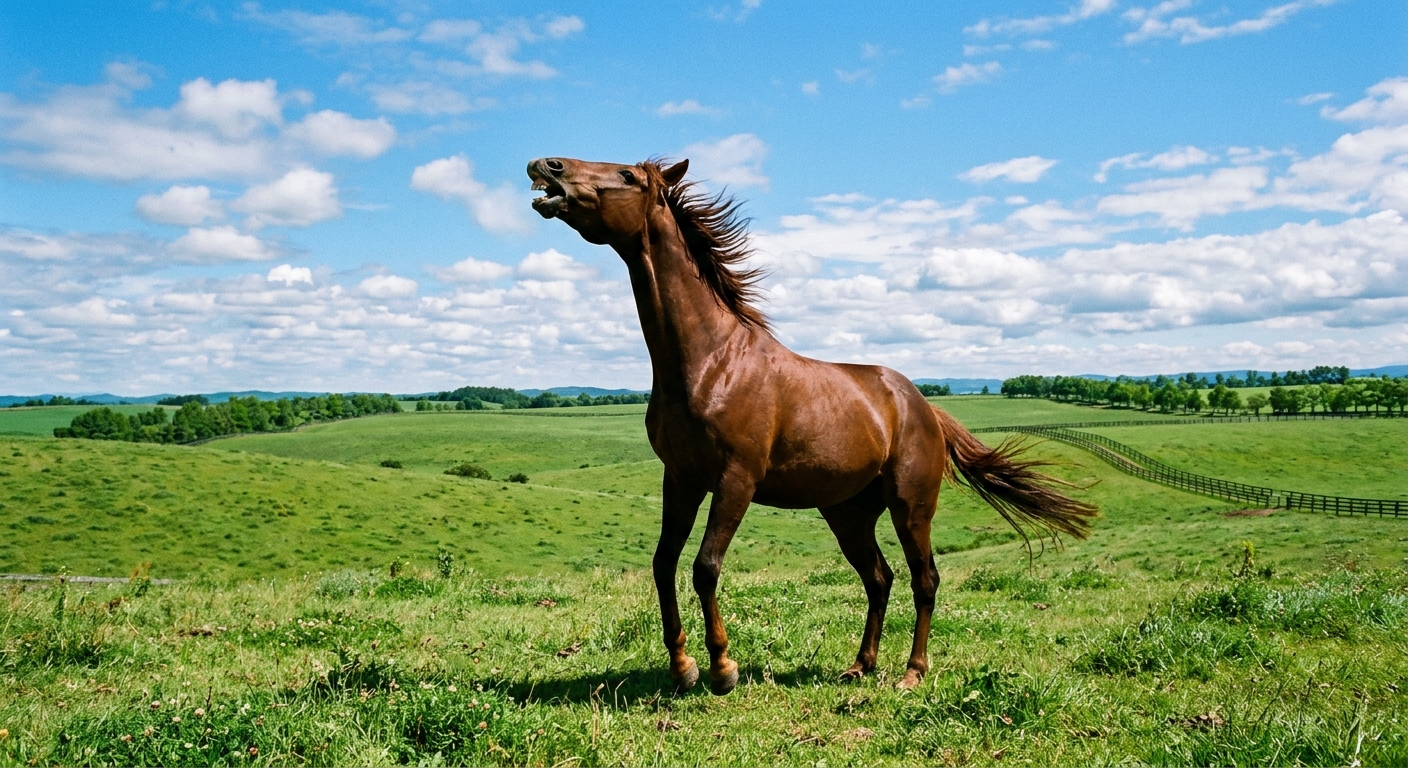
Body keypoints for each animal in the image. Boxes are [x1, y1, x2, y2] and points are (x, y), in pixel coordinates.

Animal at [526, 156, 1097, 694]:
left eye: (627, 175)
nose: (546, 166)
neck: (713, 361)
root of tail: (922, 406)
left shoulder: (736, 480)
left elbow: (705, 566)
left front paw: (723, 669)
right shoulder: (681, 477)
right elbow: (664, 563)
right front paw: (683, 668)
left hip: (911, 507)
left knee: (924, 580)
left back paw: (912, 673)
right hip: (848, 514)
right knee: (879, 578)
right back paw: (860, 666)